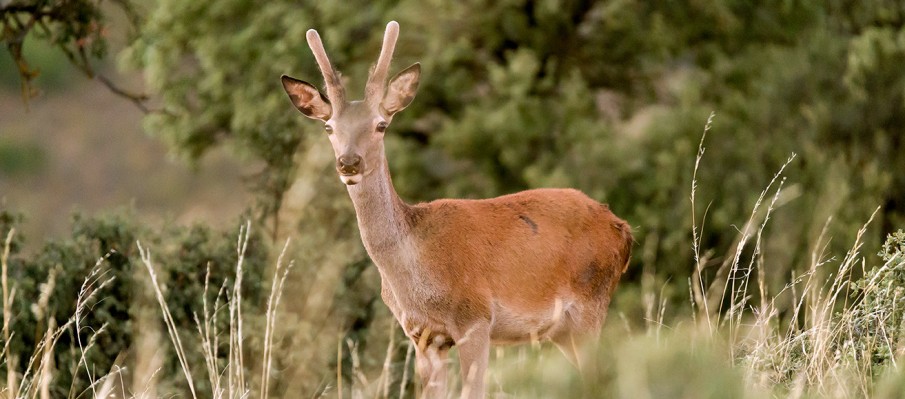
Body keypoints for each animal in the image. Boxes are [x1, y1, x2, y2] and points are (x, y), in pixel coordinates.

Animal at [278, 21, 632, 399]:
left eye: (380, 125)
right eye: (329, 127)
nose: (349, 162)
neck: (415, 272)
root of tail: (623, 229)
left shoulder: (475, 318)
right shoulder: (423, 336)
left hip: (590, 304)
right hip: (563, 331)